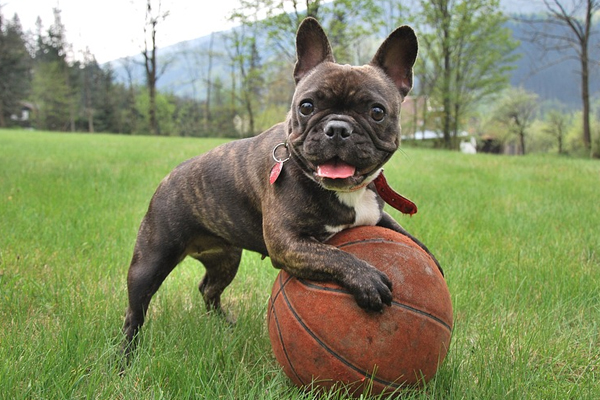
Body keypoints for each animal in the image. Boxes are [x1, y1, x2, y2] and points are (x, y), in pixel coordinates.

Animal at [122, 17, 440, 352]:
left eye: (377, 112)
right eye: (306, 106)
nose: (338, 128)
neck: (345, 191)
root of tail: (169, 177)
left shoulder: (376, 215)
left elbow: (405, 235)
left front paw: (430, 260)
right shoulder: (288, 243)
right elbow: (334, 255)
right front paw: (367, 279)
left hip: (226, 258)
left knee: (208, 288)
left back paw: (224, 324)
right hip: (151, 261)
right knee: (135, 312)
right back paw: (126, 356)